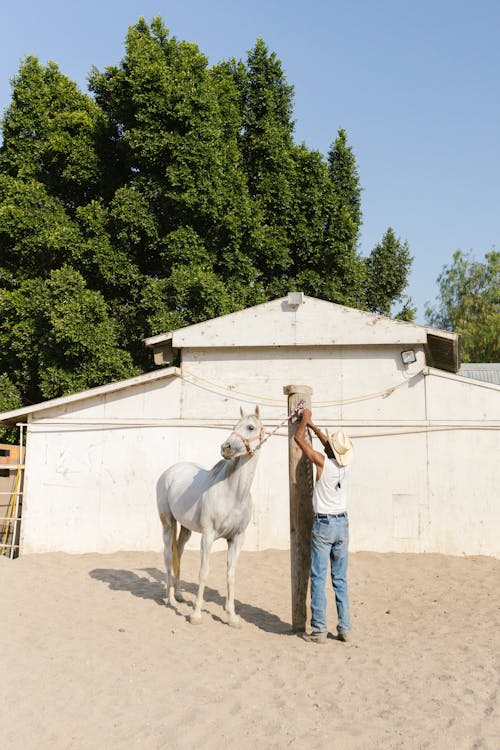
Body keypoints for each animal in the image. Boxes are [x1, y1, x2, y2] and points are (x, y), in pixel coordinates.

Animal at [158, 408, 264, 624]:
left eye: (250, 427)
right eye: (234, 426)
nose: (226, 448)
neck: (233, 493)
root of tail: (169, 472)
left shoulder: (237, 539)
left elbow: (231, 574)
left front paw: (232, 616)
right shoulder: (208, 536)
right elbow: (204, 572)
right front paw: (196, 615)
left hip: (186, 528)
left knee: (178, 552)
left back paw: (179, 595)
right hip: (168, 524)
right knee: (167, 556)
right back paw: (170, 598)